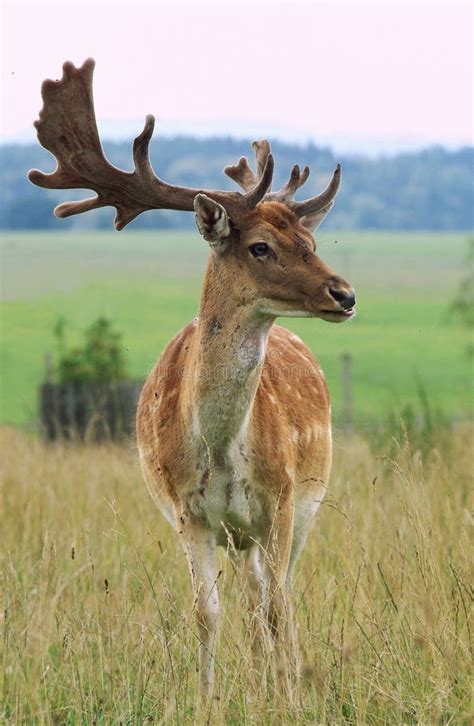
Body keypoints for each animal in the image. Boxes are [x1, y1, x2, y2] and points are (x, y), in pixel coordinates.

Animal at [28, 61, 356, 700]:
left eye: (309, 242)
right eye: (261, 247)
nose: (344, 293)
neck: (221, 447)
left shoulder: (282, 501)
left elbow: (279, 607)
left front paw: (288, 695)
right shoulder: (188, 513)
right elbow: (207, 612)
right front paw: (209, 697)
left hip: (302, 506)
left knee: (276, 597)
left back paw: (279, 674)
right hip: (239, 534)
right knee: (253, 597)